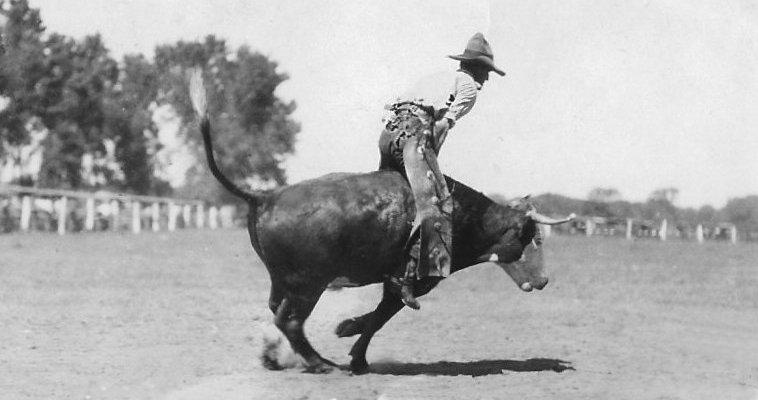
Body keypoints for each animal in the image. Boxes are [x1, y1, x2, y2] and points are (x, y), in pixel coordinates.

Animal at [187, 72, 572, 376]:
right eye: (533, 238)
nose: (544, 280)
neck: (459, 215)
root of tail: (264, 197)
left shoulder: (394, 281)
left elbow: (377, 315)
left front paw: (348, 333)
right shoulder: (410, 281)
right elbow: (381, 316)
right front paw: (353, 349)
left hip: (284, 281)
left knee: (277, 313)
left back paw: (276, 357)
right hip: (308, 283)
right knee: (290, 321)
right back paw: (321, 363)